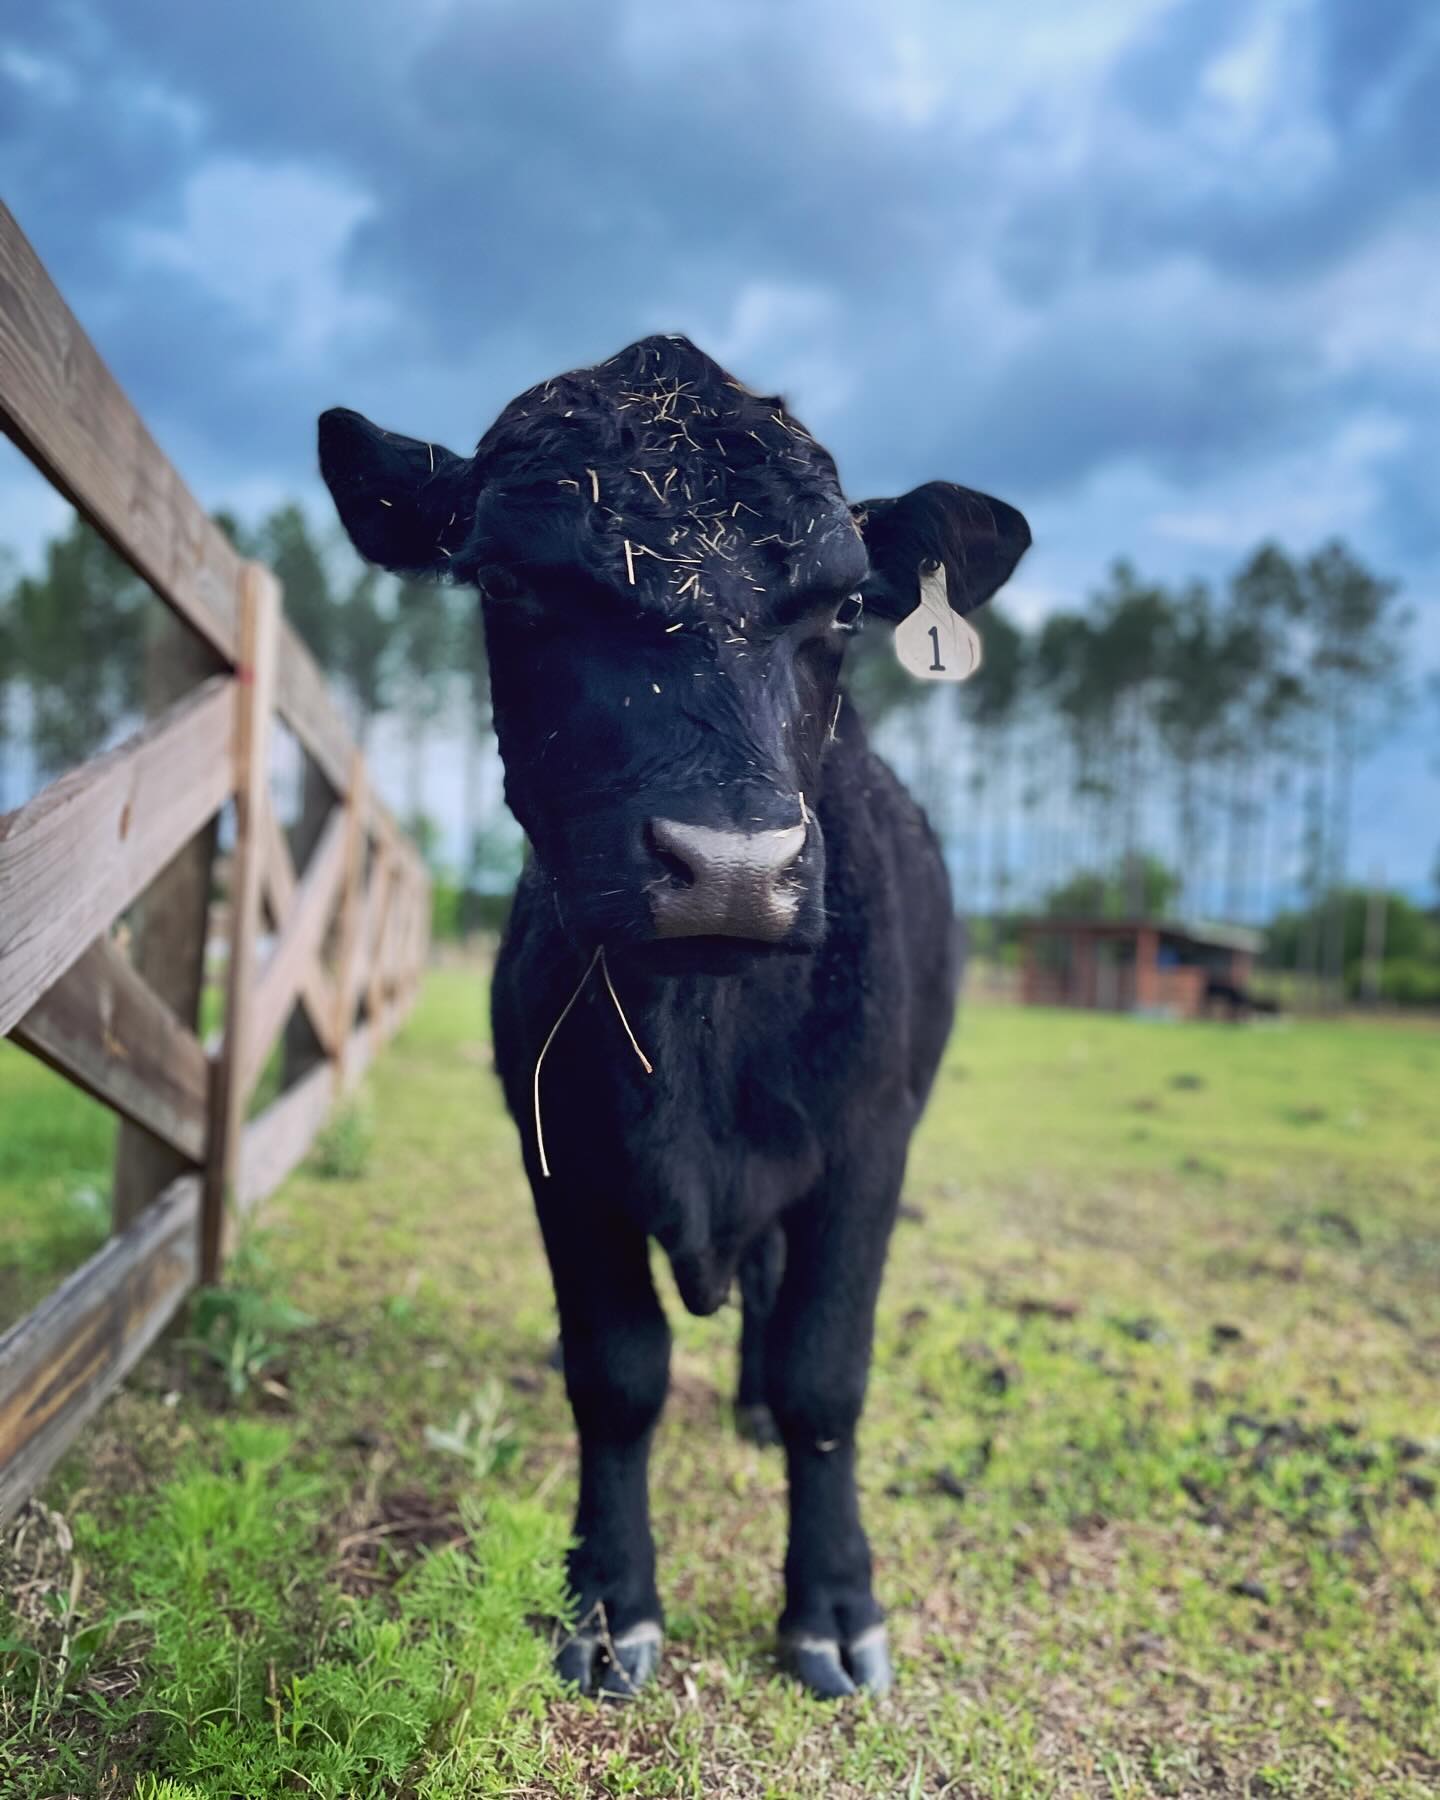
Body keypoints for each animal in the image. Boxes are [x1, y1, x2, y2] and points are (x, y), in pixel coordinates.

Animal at [319, 335, 1029, 1700]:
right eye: (510, 584)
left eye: (845, 605)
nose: (732, 868)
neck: (701, 1037)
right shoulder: (557, 1153)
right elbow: (617, 1372)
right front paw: (607, 1602)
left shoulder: (869, 1149)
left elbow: (824, 1376)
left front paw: (833, 1609)